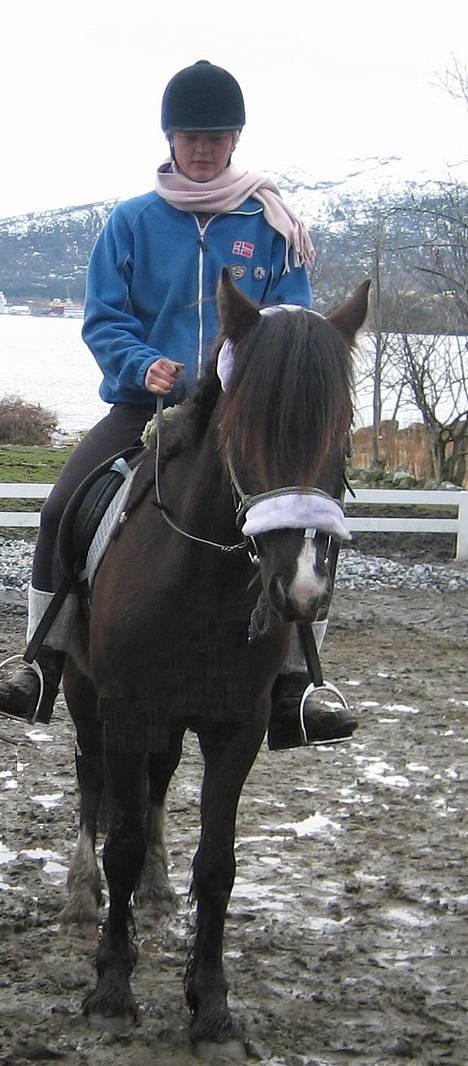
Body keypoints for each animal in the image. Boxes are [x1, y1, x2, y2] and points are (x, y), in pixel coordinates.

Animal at [61, 270, 370, 1044]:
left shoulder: (238, 724)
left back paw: (156, 887)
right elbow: (120, 840)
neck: (199, 580)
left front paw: (211, 1001)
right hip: (86, 699)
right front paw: (112, 987)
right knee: (91, 784)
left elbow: (218, 862)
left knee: (158, 784)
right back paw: (81, 892)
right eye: (244, 430)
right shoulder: (126, 709)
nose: (301, 589)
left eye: (341, 432)